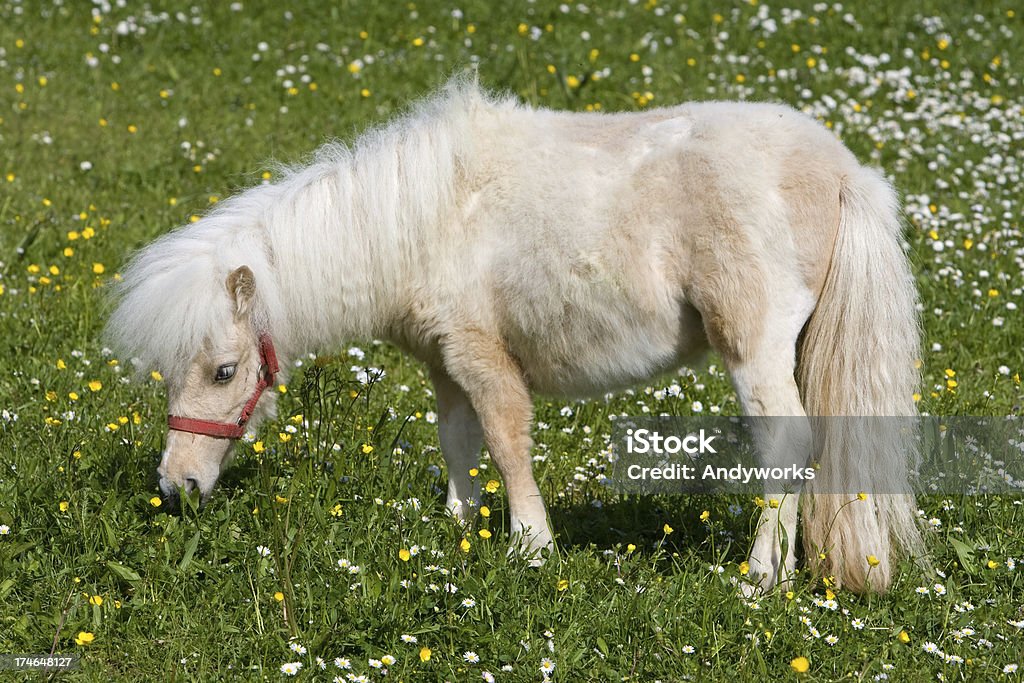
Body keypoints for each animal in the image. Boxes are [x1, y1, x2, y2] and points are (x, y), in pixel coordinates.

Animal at [108, 78, 925, 593]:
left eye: (224, 371)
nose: (176, 487)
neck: (425, 221)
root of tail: (845, 171)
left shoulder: (480, 353)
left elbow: (506, 439)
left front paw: (531, 547)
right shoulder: (443, 361)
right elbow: (458, 441)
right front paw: (457, 526)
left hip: (753, 348)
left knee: (787, 442)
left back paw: (759, 577)